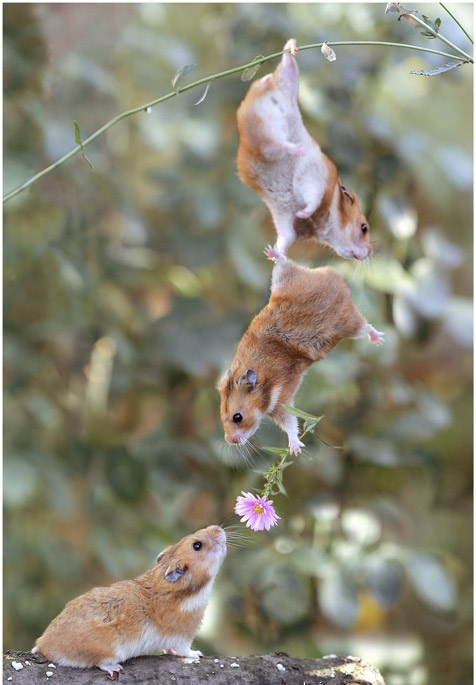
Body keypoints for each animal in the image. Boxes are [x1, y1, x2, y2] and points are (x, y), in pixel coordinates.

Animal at [31, 528, 227, 676]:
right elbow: (186, 650)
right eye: (197, 545)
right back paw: (115, 668)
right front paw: (198, 654)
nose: (219, 528)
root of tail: (44, 644)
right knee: (99, 663)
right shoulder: (182, 636)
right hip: (108, 650)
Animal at [218, 247, 384, 454]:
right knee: (284, 263)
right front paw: (295, 450)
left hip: (348, 323)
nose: (230, 441)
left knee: (366, 327)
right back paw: (272, 253)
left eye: (237, 417)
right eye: (222, 415)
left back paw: (379, 339)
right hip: (282, 279)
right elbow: (290, 424)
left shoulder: (281, 401)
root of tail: (336, 277)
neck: (264, 384)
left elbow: (290, 424)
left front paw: (295, 450)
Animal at [237, 38, 372, 260]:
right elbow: (311, 202)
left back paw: (292, 48)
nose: (370, 252)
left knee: (286, 64)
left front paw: (270, 253)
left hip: (284, 88)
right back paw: (297, 149)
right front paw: (303, 213)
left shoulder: (286, 221)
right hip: (273, 125)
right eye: (364, 228)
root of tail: (269, 86)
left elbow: (284, 240)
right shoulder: (314, 181)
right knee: (273, 147)